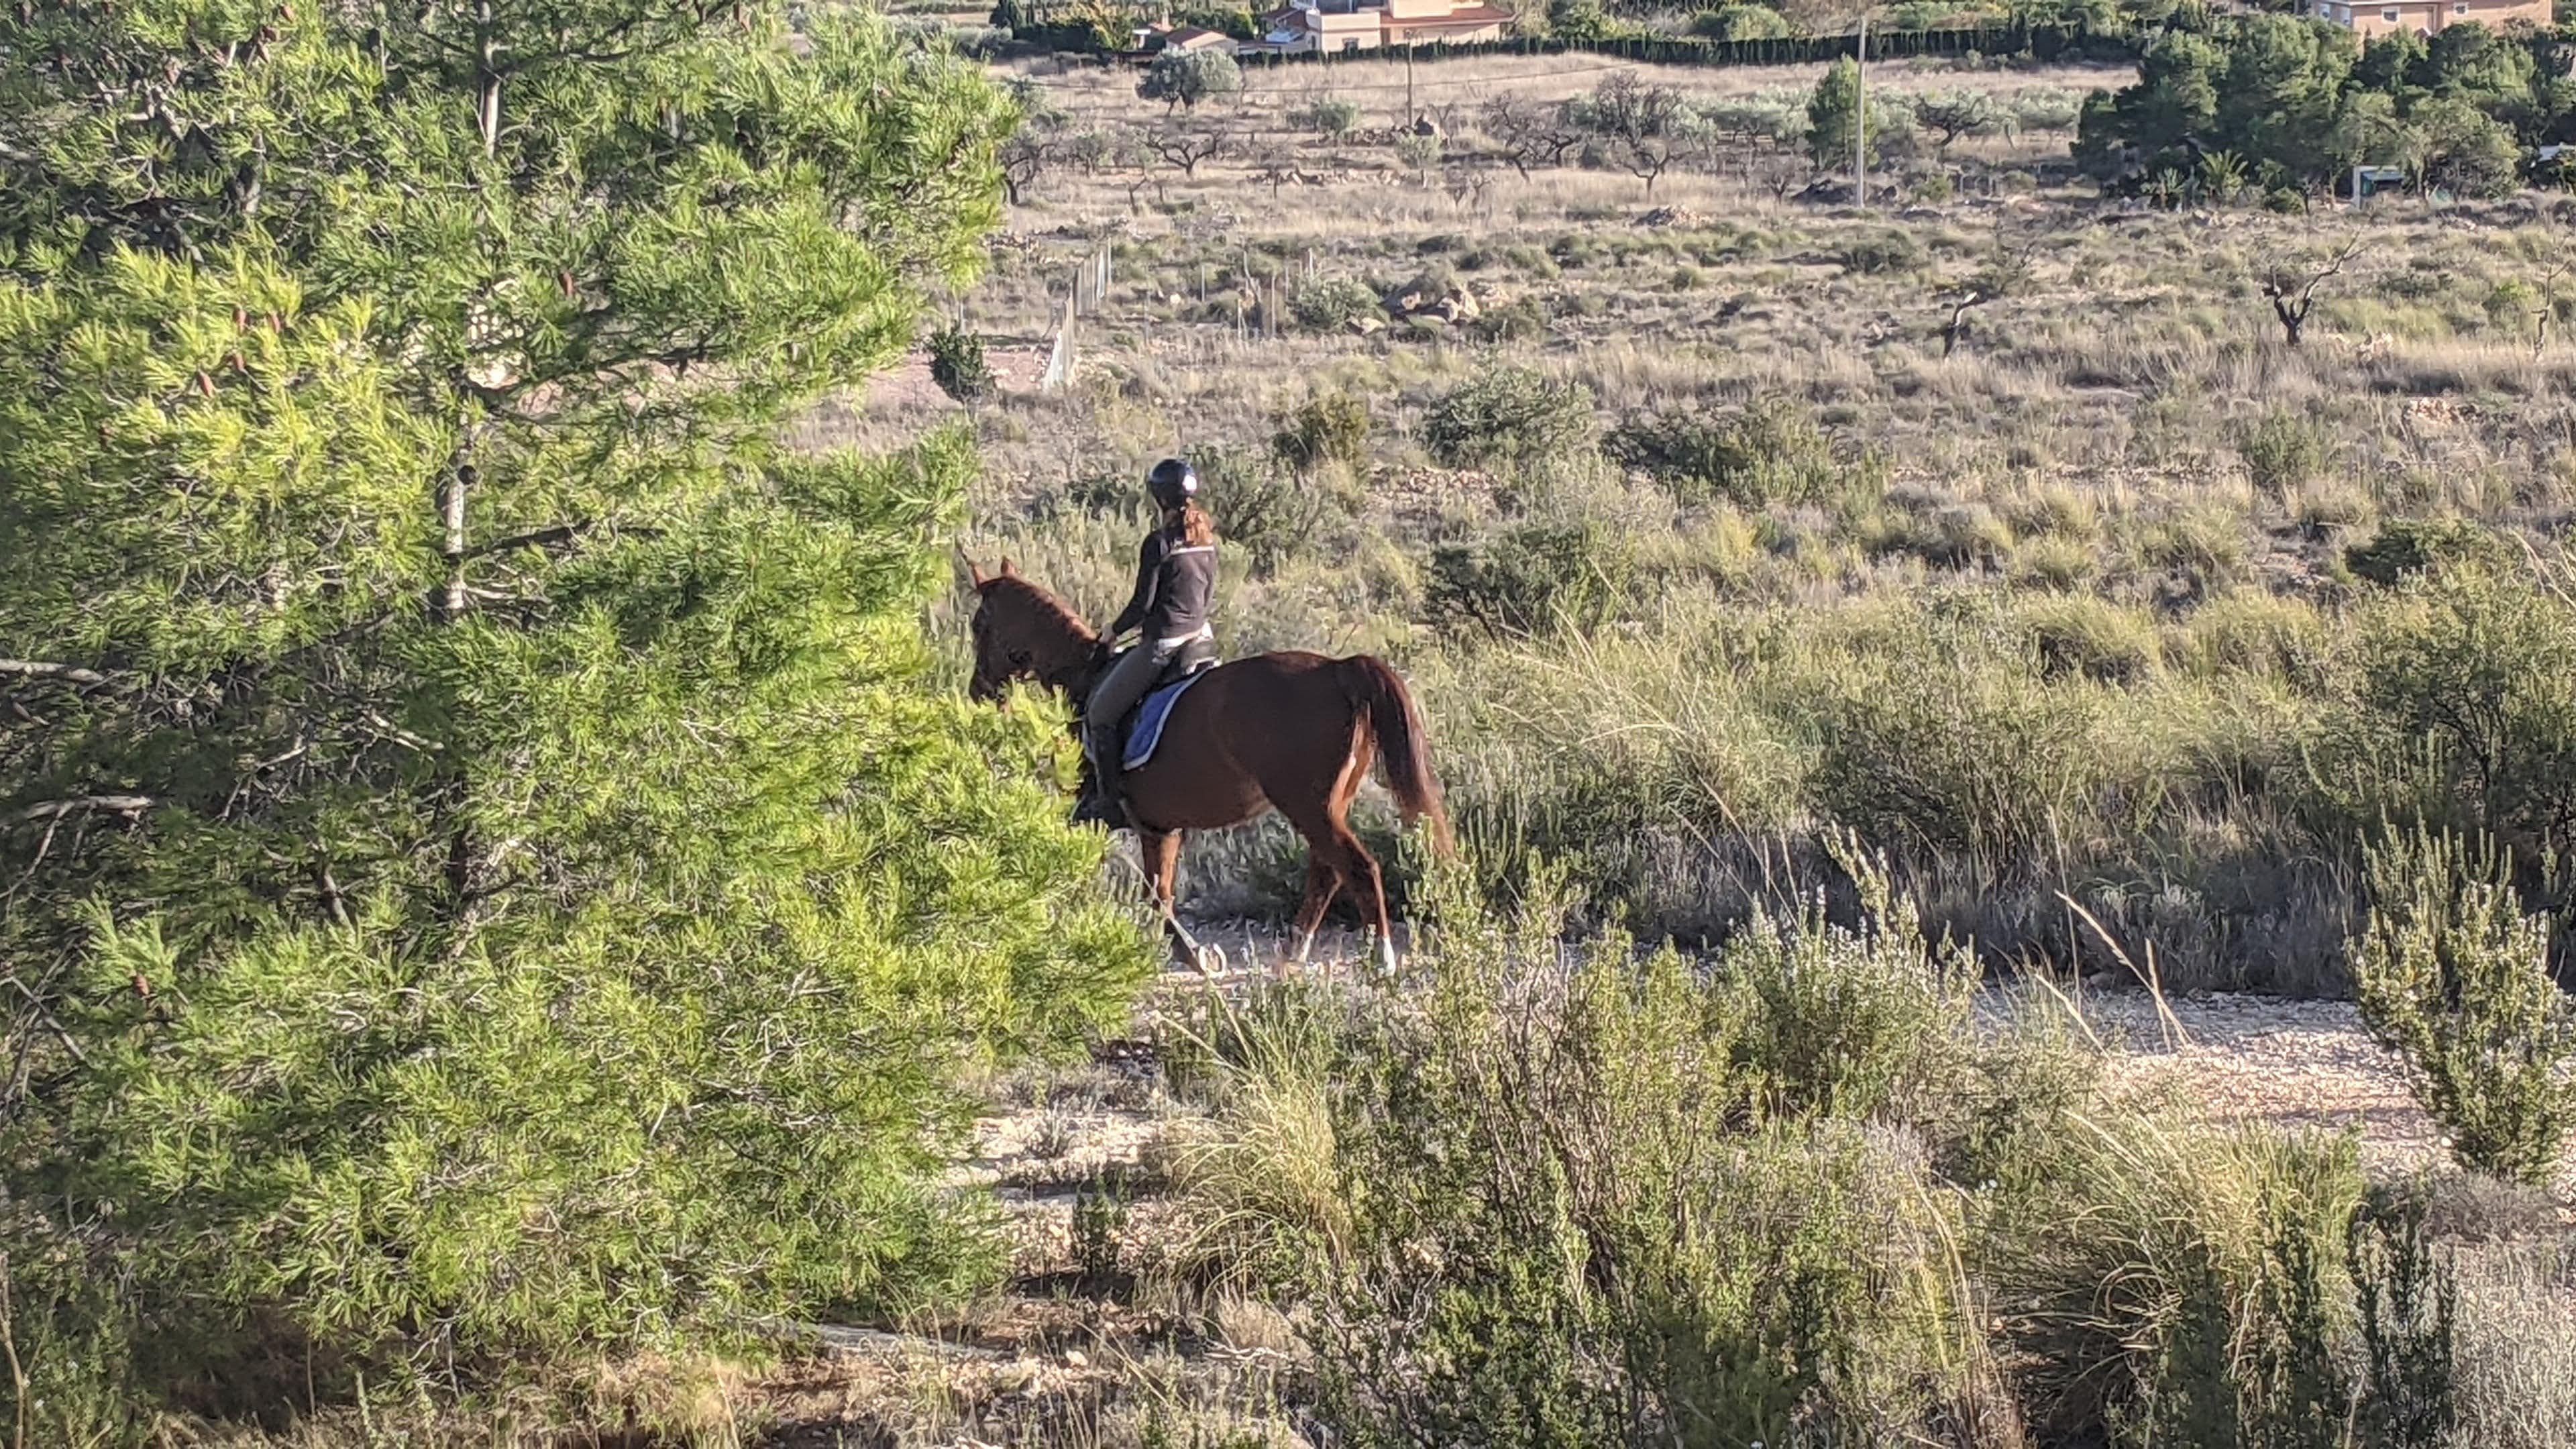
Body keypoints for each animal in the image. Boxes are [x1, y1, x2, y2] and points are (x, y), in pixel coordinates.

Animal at [960, 556, 1449, 972]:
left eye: (979, 624)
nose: (978, 693)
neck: (1083, 676)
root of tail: (1338, 669)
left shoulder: (1097, 816)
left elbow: (1121, 885)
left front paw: (1190, 952)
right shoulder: (1160, 828)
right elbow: (1159, 893)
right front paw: (1187, 953)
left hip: (1309, 806)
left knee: (1357, 868)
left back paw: (1380, 960)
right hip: (1327, 806)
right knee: (1328, 873)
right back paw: (1292, 955)